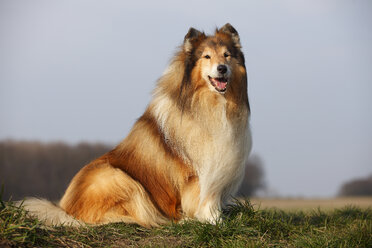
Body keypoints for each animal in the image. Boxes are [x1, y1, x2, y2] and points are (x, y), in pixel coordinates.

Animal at [21, 23, 251, 227]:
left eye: (227, 55)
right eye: (207, 56)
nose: (222, 69)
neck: (212, 104)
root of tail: (64, 208)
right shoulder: (197, 172)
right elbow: (205, 199)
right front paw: (213, 221)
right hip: (117, 178)